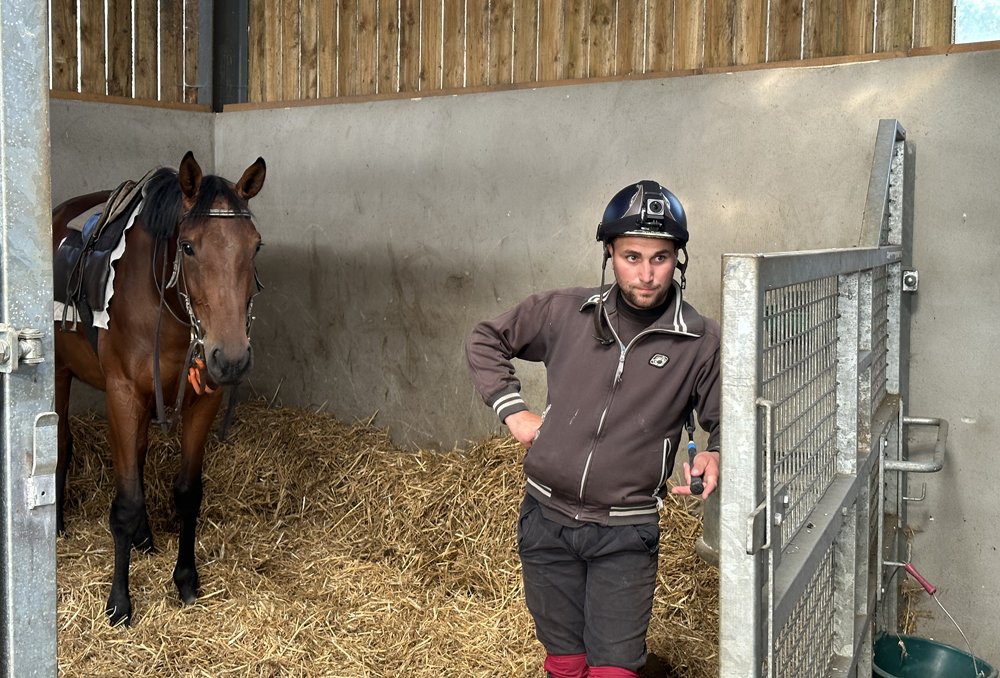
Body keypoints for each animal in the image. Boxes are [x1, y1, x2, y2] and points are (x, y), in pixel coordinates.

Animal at [52, 151, 266, 626]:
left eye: (256, 246)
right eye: (187, 246)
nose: (232, 358)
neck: (163, 302)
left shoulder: (204, 397)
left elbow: (187, 493)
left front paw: (185, 579)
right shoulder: (122, 394)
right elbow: (126, 501)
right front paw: (119, 602)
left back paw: (145, 538)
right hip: (59, 374)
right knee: (60, 443)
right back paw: (56, 524)